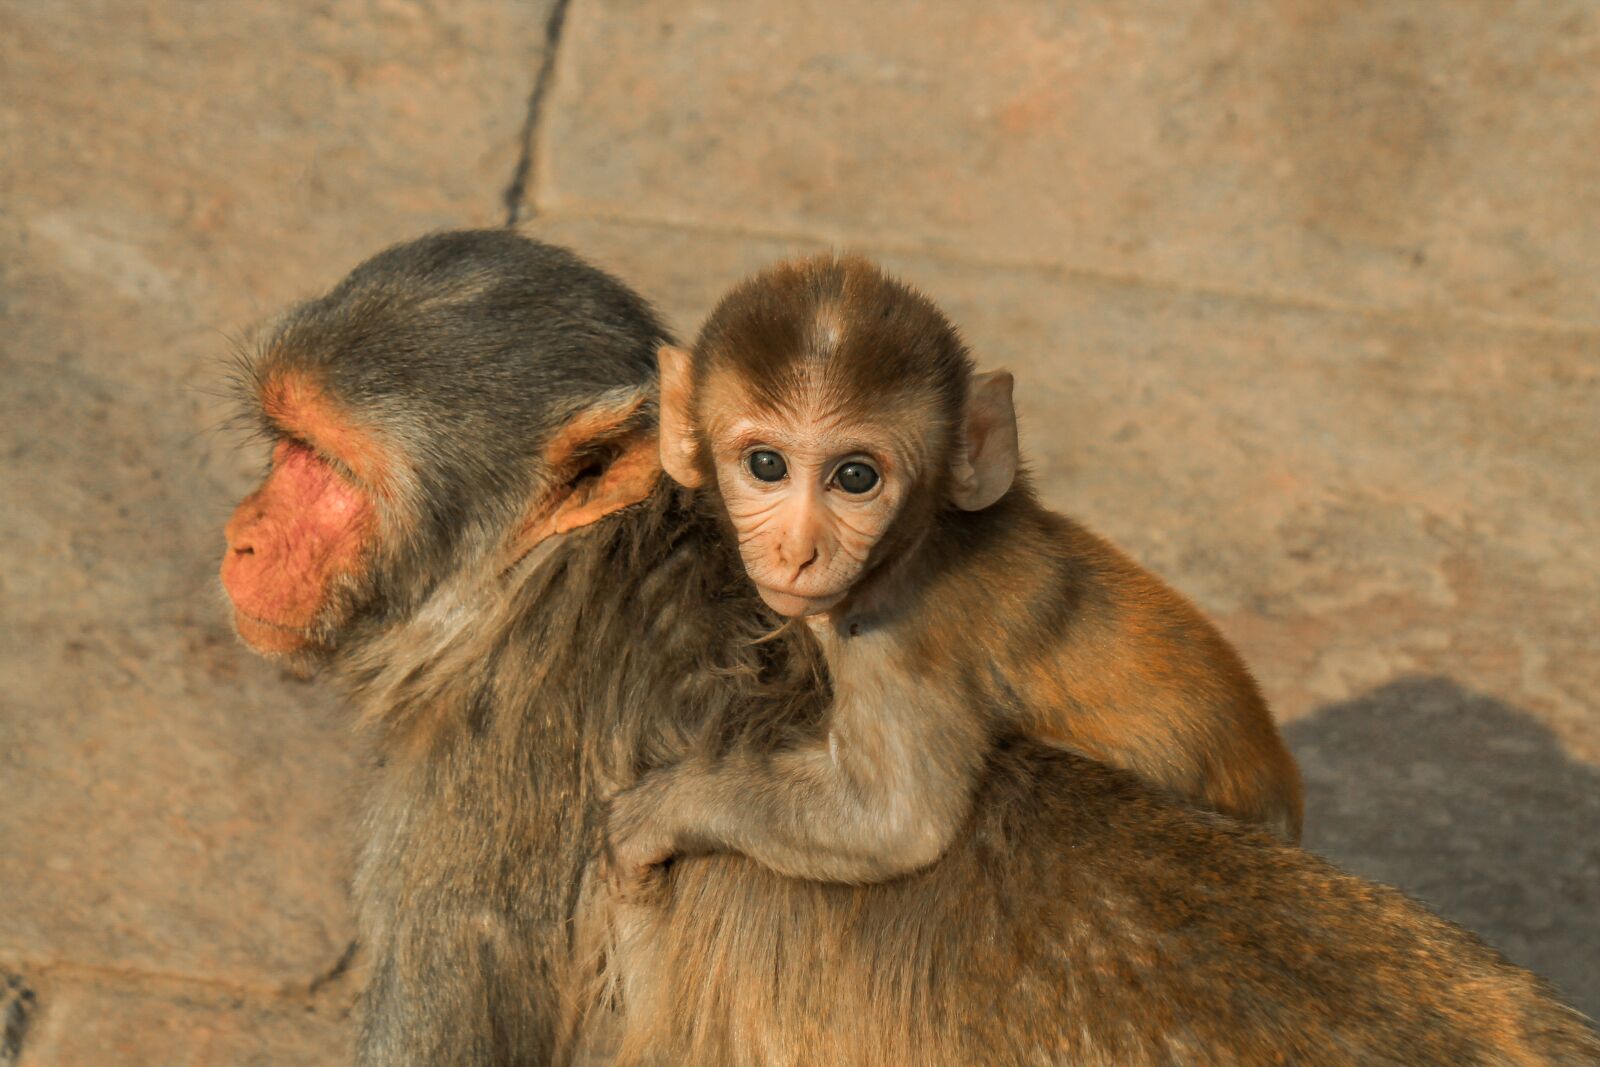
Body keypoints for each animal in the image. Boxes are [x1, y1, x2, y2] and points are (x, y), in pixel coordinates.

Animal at [604, 254, 1302, 892]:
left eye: (855, 477)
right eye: (767, 465)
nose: (798, 550)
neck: (919, 544)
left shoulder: (904, 641)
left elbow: (895, 824)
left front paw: (660, 810)